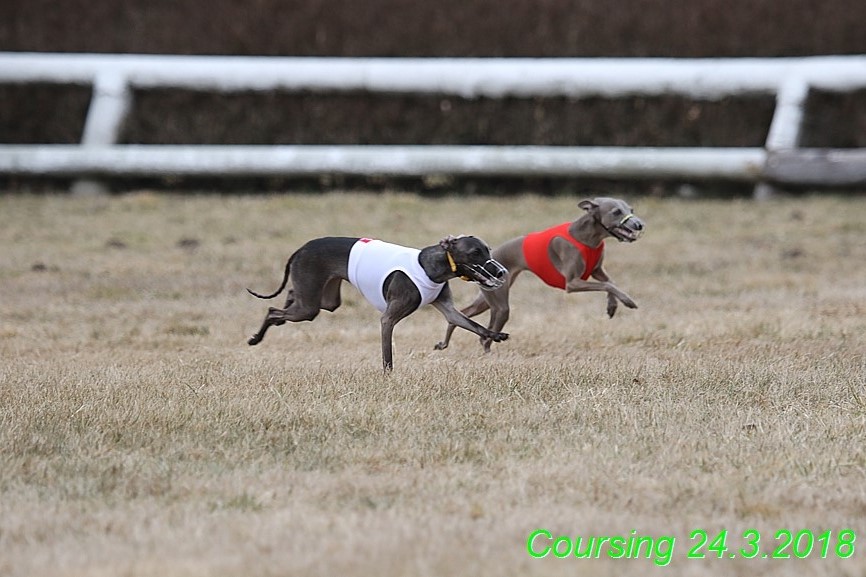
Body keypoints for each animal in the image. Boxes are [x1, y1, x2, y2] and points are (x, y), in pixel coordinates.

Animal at [246, 234, 510, 368]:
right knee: (272, 309)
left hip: (326, 299)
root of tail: (300, 249)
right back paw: (255, 338)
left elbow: (473, 325)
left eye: (488, 249)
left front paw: (496, 335)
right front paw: (388, 377)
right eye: (475, 253)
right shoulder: (388, 318)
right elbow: (387, 354)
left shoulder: (448, 309)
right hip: (310, 305)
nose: (500, 272)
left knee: (292, 295)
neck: (431, 266)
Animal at [432, 197, 640, 352]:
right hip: (500, 304)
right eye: (616, 212)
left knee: (464, 314)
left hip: (487, 298)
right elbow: (608, 284)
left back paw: (445, 343)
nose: (639, 225)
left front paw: (613, 305)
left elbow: (610, 283)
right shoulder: (572, 283)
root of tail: (493, 254)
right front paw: (628, 301)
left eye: (630, 208)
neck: (586, 237)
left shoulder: (596, 271)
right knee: (485, 332)